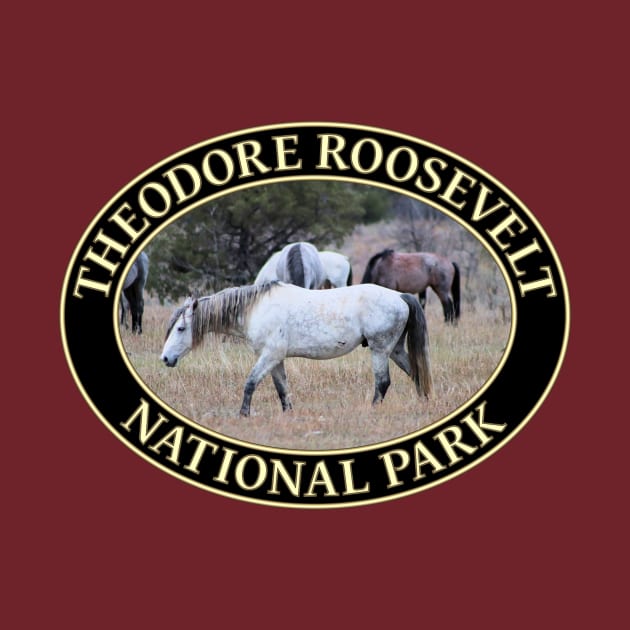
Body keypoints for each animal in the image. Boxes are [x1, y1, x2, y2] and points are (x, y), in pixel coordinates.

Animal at [160, 284, 432, 418]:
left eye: (181, 328)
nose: (165, 358)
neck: (255, 308)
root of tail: (400, 296)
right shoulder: (276, 359)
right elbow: (282, 389)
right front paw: (288, 414)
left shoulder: (269, 356)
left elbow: (250, 383)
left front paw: (243, 415)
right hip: (394, 350)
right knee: (416, 374)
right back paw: (424, 403)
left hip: (380, 349)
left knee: (383, 383)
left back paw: (372, 410)